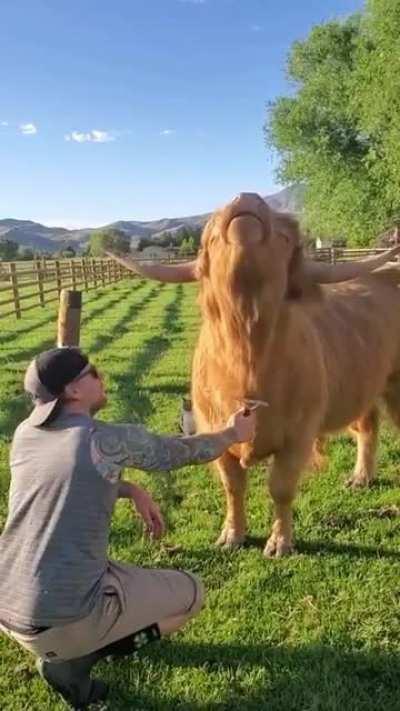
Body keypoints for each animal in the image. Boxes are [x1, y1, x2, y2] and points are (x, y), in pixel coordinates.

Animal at [108, 193, 400, 557]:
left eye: (286, 237)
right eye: (209, 236)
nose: (245, 198)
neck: (248, 358)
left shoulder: (299, 435)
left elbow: (281, 488)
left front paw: (279, 542)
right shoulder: (213, 430)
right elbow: (232, 486)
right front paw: (231, 535)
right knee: (367, 426)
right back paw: (361, 477)